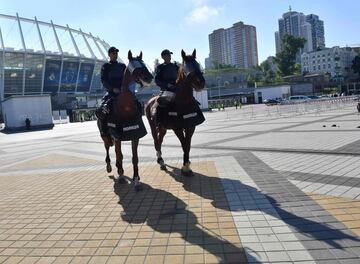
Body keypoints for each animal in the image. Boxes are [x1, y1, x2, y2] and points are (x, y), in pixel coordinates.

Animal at [98, 50, 153, 190]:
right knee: (108, 148)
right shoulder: (116, 136)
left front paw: (136, 179)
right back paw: (110, 166)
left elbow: (134, 158)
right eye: (136, 67)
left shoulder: (135, 135)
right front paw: (121, 175)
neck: (125, 107)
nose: (150, 78)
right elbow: (120, 155)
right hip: (105, 135)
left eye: (143, 64)